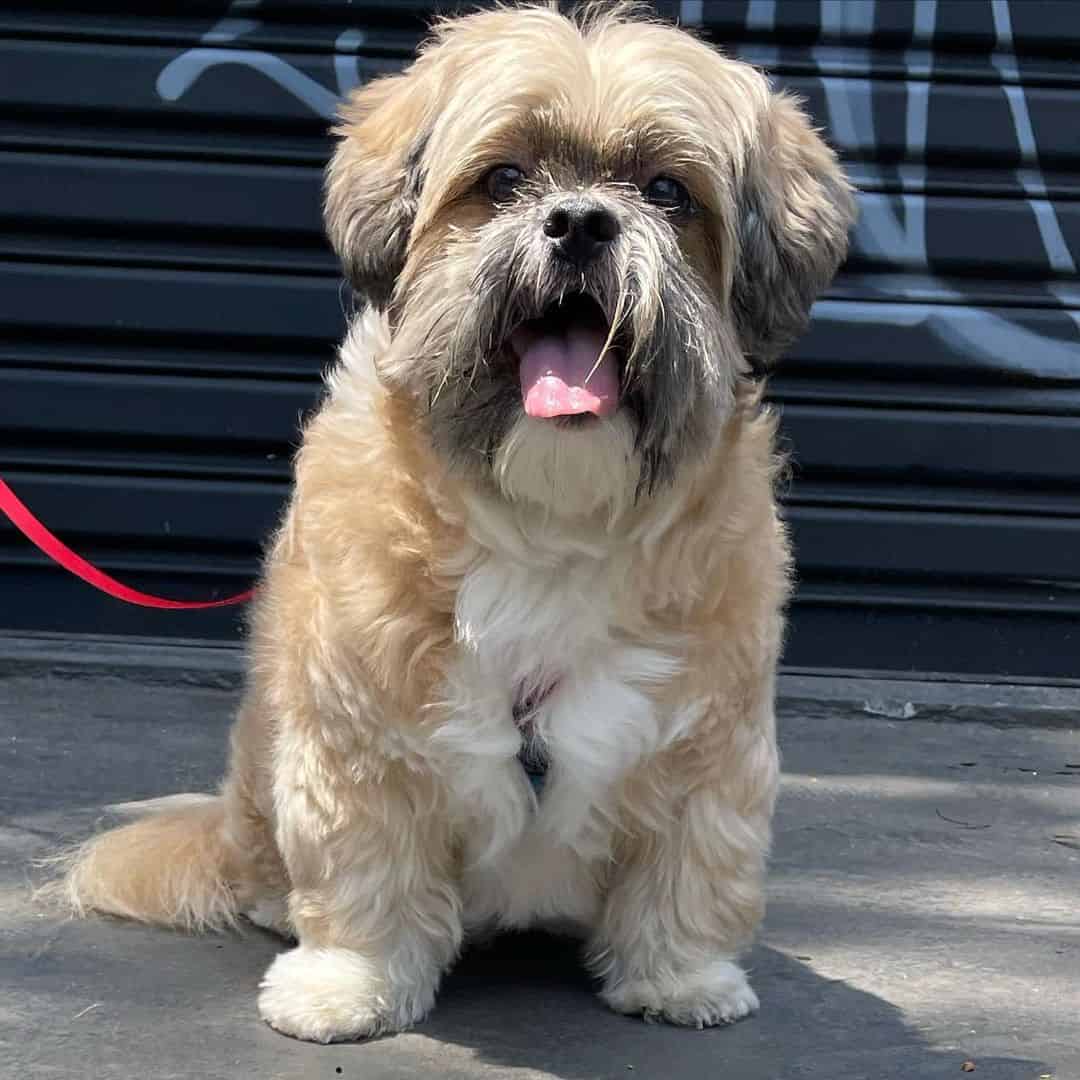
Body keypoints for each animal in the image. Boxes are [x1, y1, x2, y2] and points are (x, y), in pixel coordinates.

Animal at [59, 0, 855, 1045]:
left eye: (668, 192)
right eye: (503, 180)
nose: (581, 221)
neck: (550, 523)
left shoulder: (707, 744)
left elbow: (692, 864)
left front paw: (682, 976)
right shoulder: (357, 738)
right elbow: (365, 871)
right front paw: (346, 986)